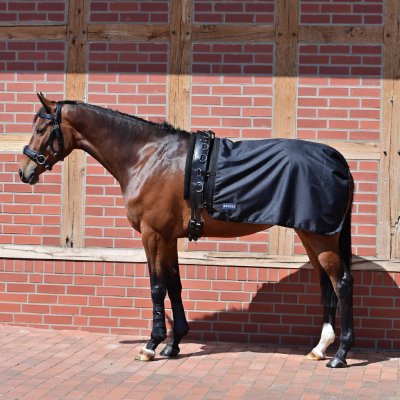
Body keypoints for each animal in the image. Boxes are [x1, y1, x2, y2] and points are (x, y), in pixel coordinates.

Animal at [19, 94, 354, 368]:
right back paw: (319, 348)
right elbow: (174, 285)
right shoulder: (168, 238)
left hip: (320, 236)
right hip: (311, 235)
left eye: (41, 129)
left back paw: (339, 355)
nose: (25, 171)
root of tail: (337, 159)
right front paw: (174, 344)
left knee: (341, 283)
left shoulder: (152, 235)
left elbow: (156, 287)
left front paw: (151, 345)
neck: (148, 156)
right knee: (326, 283)